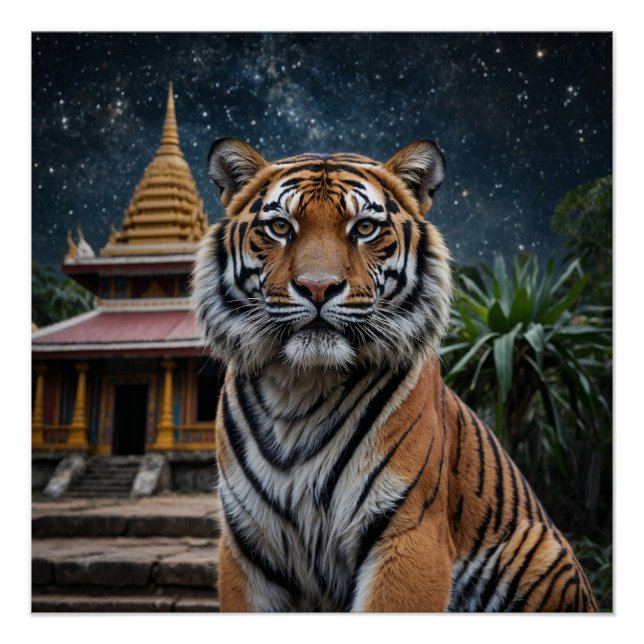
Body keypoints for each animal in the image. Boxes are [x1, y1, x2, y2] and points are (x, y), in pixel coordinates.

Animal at [192, 137, 597, 612]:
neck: (301, 387)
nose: (317, 287)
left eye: (365, 228)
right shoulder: (247, 546)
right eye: (280, 227)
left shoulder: (408, 532)